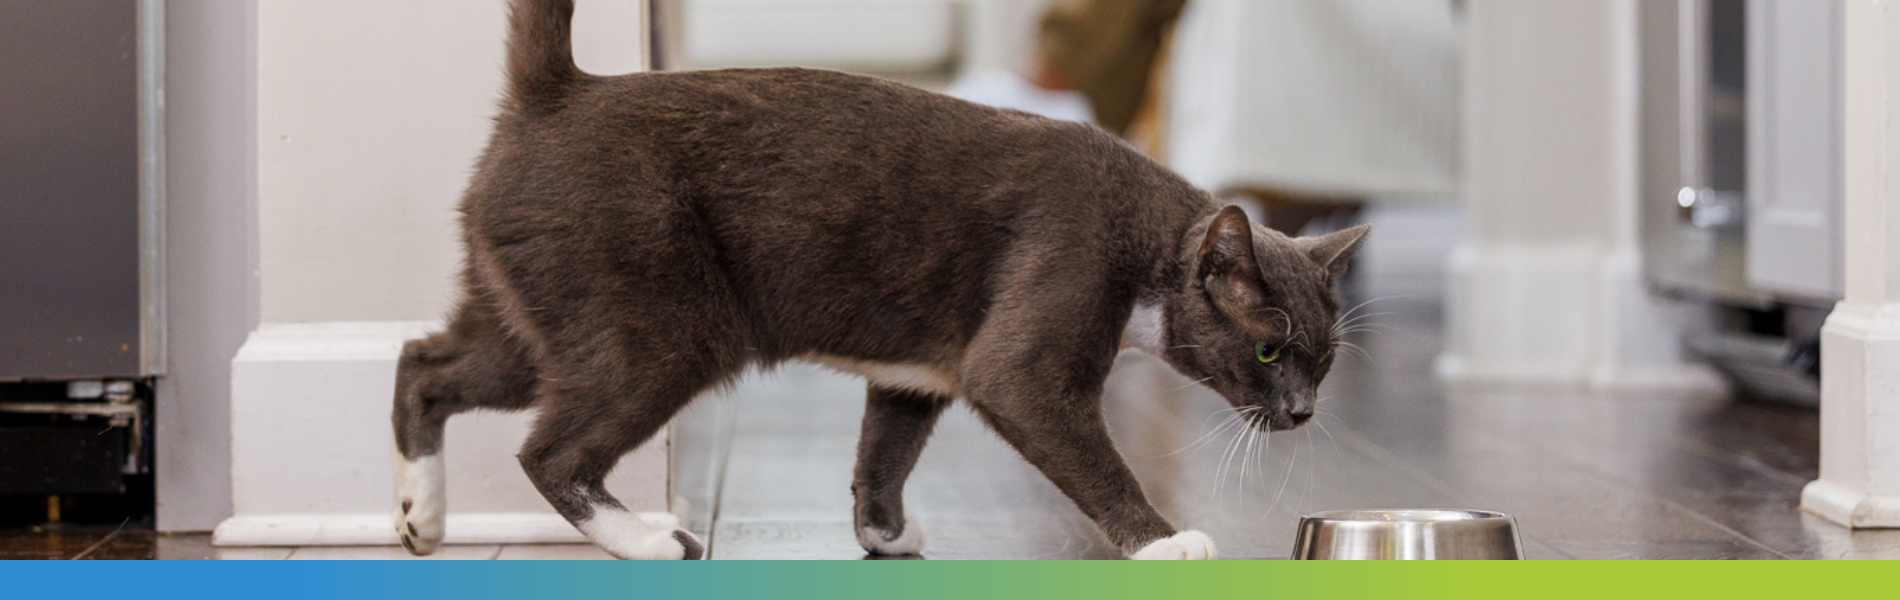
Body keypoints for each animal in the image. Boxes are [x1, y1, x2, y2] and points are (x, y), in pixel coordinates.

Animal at [389, 0, 1368, 562]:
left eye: (1324, 363)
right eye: (1269, 350)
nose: (1301, 414)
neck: (1147, 241)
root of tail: (559, 91)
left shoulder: (915, 376)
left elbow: (883, 454)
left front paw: (883, 533)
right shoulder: (1030, 346)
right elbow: (1090, 455)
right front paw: (1165, 544)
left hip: (527, 318)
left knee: (424, 365)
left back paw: (420, 516)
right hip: (658, 330)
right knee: (549, 452)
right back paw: (646, 539)